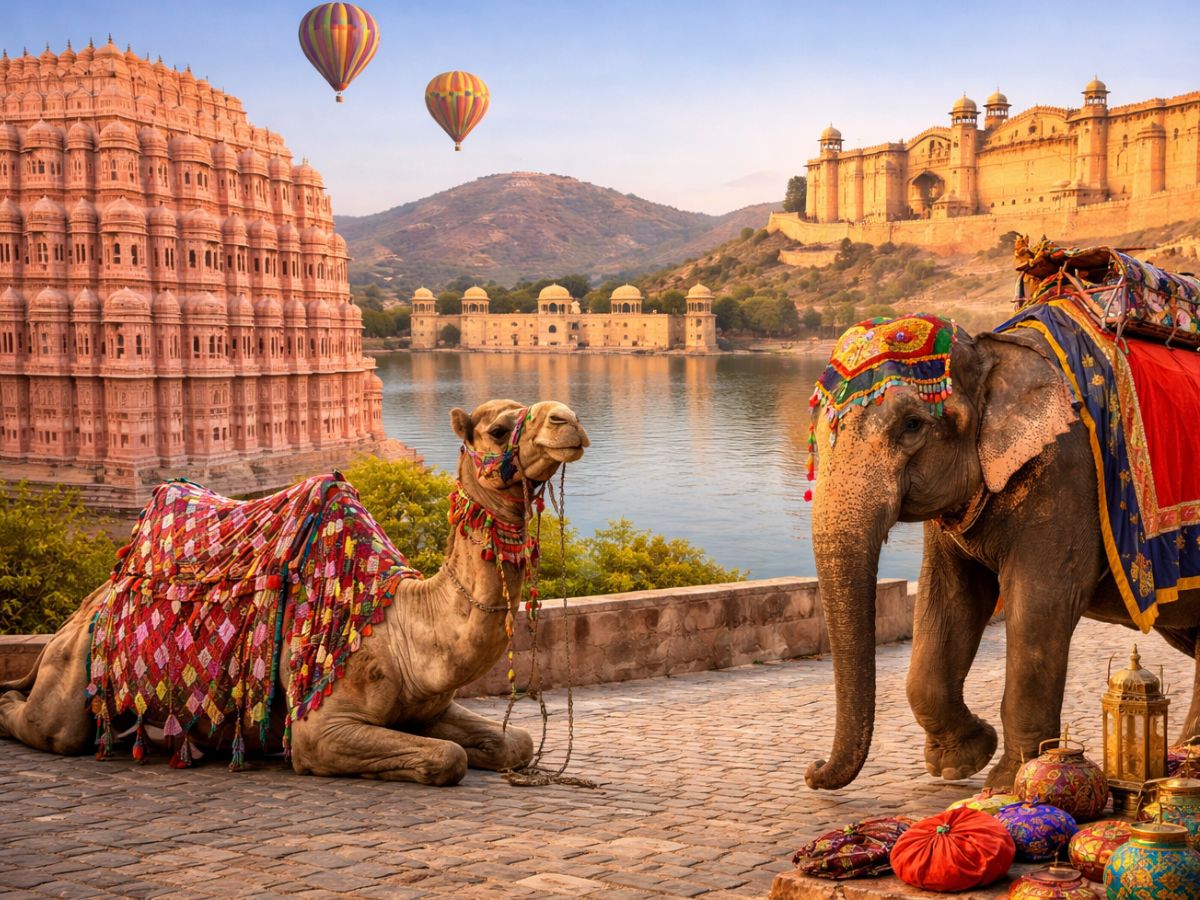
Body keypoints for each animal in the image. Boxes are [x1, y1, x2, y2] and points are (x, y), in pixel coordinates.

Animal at [0, 399, 589, 784]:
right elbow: (446, 758)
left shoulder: (426, 706)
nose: (569, 420)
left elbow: (515, 743)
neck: (405, 624)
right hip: (72, 679)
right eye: (499, 429)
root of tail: (84, 610)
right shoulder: (318, 728)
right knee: (43, 723)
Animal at [804, 317, 1200, 792]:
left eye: (912, 424)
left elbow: (1040, 606)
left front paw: (1010, 783)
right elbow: (948, 603)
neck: (991, 352)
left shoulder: (1067, 475)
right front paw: (961, 763)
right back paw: (1187, 757)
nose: (811, 770)